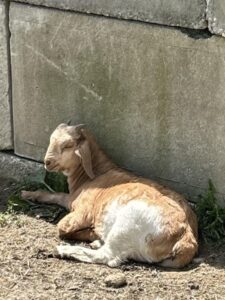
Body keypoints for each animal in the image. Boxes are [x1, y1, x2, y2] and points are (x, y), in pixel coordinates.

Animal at [20, 123, 197, 268]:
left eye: (68, 145)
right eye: (51, 140)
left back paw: (64, 249)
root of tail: (186, 239)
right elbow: (55, 195)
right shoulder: (71, 199)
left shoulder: (82, 213)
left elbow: (62, 227)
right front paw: (27, 194)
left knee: (107, 256)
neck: (96, 174)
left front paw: (90, 233)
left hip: (127, 225)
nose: (47, 162)